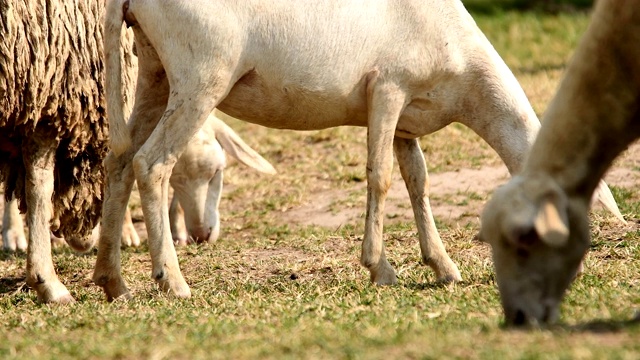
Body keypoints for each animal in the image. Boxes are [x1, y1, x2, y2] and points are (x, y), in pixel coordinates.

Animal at [95, 0, 624, 300]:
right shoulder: (387, 88)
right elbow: (380, 176)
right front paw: (381, 269)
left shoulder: (409, 115)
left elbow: (418, 181)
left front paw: (442, 266)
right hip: (202, 74)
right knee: (151, 163)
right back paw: (172, 282)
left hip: (154, 72)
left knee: (118, 161)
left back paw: (112, 282)